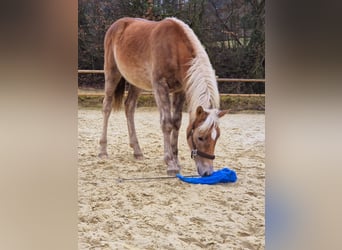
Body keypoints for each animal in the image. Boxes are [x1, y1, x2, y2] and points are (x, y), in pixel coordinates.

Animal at [98, 17, 227, 176]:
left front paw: (176, 160)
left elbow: (176, 122)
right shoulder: (160, 86)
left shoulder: (180, 90)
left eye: (217, 137)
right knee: (107, 107)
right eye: (200, 137)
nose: (207, 172)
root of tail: (117, 24)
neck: (174, 48)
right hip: (112, 74)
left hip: (136, 82)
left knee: (129, 107)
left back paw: (137, 151)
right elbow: (166, 123)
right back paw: (103, 150)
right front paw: (170, 163)